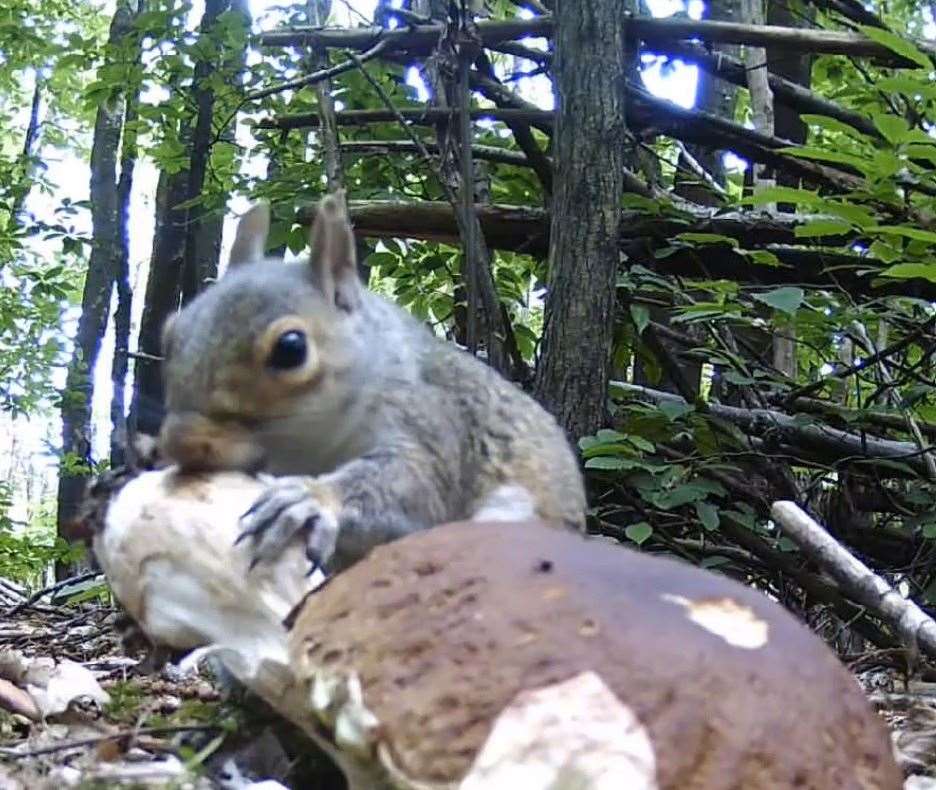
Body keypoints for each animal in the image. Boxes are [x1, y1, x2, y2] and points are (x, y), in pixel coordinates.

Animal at [160, 193, 584, 576]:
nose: (181, 442)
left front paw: (311, 498)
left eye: (291, 348)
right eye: (170, 333)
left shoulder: (428, 420)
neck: (311, 446)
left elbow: (417, 483)